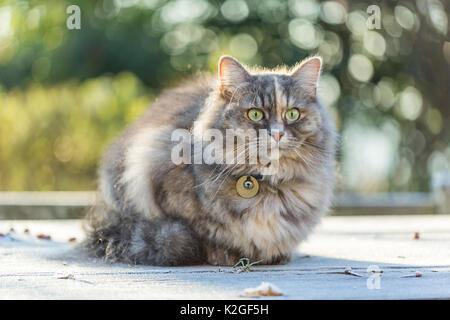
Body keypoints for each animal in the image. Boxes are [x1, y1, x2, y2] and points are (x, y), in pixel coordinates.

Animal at [83, 55, 338, 268]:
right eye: (255, 114)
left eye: (292, 114)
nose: (277, 133)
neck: (265, 182)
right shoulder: (156, 172)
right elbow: (204, 234)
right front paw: (223, 255)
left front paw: (276, 256)